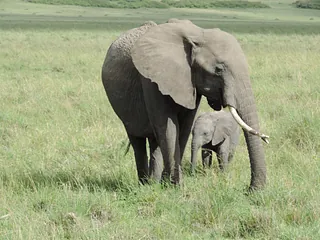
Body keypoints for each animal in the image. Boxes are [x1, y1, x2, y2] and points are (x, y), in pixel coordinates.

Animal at [102, 19, 268, 189]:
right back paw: (144, 184)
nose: (250, 190)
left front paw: (168, 184)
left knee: (155, 142)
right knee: (138, 140)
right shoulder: (151, 79)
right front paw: (176, 186)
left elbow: (185, 126)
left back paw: (153, 182)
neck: (197, 34)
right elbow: (167, 126)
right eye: (218, 69)